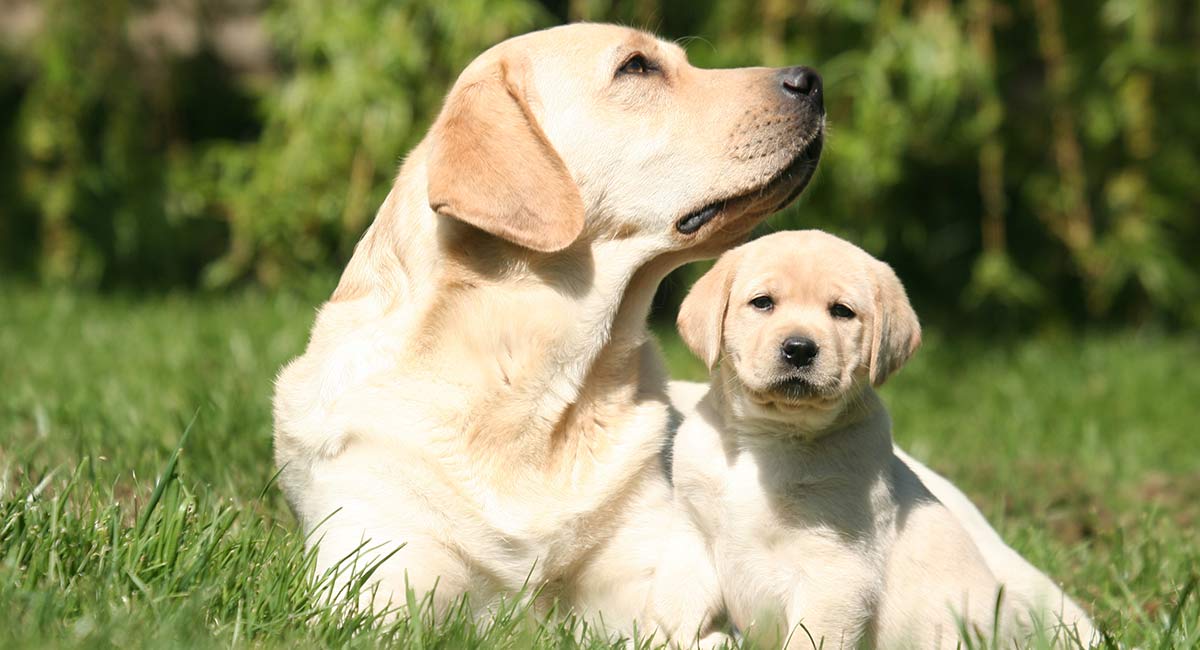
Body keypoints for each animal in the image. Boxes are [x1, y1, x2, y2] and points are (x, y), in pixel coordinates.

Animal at [676, 231, 1060, 647]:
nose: (799, 349)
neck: (770, 435)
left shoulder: (836, 568)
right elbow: (685, 608)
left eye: (842, 312)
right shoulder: (692, 535)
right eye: (763, 303)